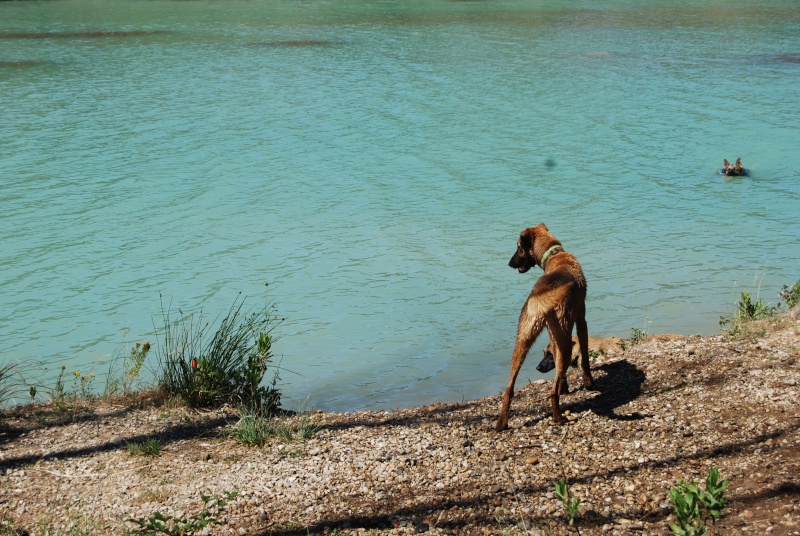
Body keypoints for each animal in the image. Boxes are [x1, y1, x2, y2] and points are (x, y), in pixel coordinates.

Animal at [500, 223, 592, 432]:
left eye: (519, 248)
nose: (510, 263)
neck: (555, 255)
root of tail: (541, 300)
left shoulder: (553, 335)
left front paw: (565, 386)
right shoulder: (581, 320)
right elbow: (584, 358)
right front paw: (589, 382)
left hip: (523, 340)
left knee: (509, 389)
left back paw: (501, 423)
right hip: (564, 339)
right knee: (552, 392)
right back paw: (559, 418)